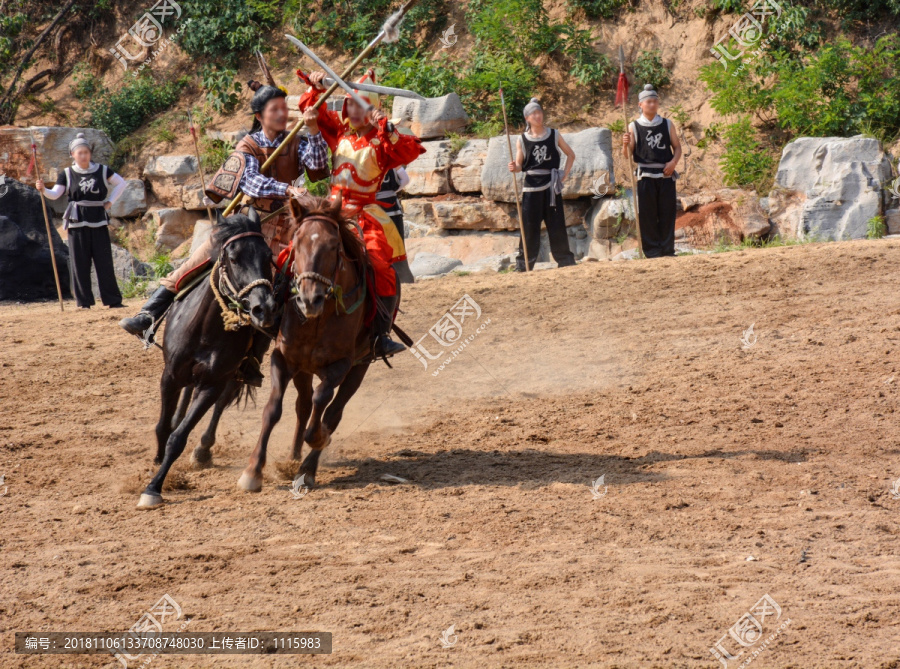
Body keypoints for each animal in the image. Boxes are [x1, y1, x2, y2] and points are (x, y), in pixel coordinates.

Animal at [137, 206, 276, 508]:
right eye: (233, 258)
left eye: (269, 257)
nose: (264, 308)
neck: (205, 328)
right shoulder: (170, 375)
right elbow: (163, 427)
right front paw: (157, 460)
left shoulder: (213, 382)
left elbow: (178, 437)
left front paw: (153, 488)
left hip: (233, 376)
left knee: (220, 404)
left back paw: (202, 450)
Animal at [236, 193, 376, 490]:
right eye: (297, 242)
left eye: (334, 245)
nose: (309, 300)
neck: (317, 319)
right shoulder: (283, 358)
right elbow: (273, 409)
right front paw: (252, 471)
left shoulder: (342, 364)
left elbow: (323, 405)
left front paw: (318, 437)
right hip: (303, 370)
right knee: (303, 406)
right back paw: (293, 456)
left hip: (360, 366)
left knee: (333, 411)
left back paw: (308, 468)